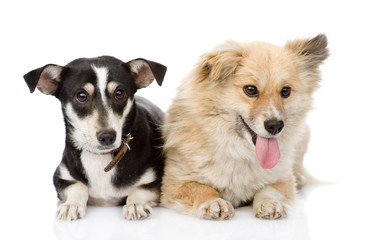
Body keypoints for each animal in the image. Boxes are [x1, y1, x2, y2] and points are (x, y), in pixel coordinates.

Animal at [23, 55, 166, 220]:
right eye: (81, 96)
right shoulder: (60, 178)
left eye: (119, 93)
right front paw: (71, 205)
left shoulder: (157, 182)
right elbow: (78, 185)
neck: (100, 156)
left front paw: (135, 204)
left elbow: (139, 189)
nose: (108, 137)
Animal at [160, 33, 328, 219]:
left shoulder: (283, 180)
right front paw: (214, 202)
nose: (275, 126)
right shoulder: (174, 184)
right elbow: (201, 189)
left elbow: (269, 189)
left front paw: (269, 203)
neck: (239, 150)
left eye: (285, 91)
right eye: (250, 90)